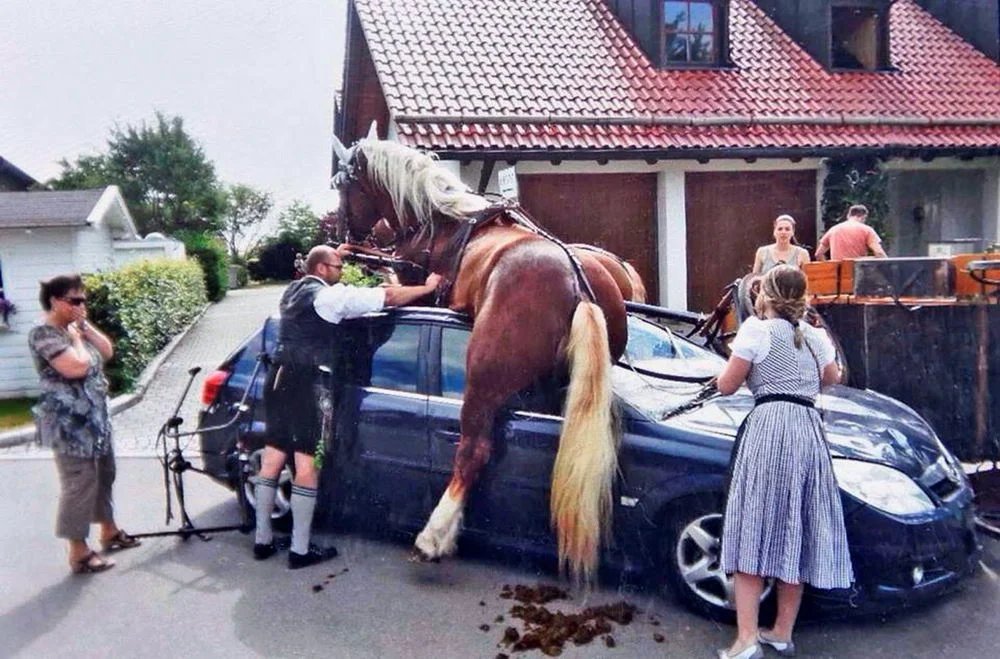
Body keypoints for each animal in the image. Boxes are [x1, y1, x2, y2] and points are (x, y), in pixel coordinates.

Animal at [336, 130, 632, 584]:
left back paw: (435, 535)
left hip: (484, 374)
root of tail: (576, 283)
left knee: (474, 449)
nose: (339, 228)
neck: (439, 222)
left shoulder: (412, 284)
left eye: (342, 184)